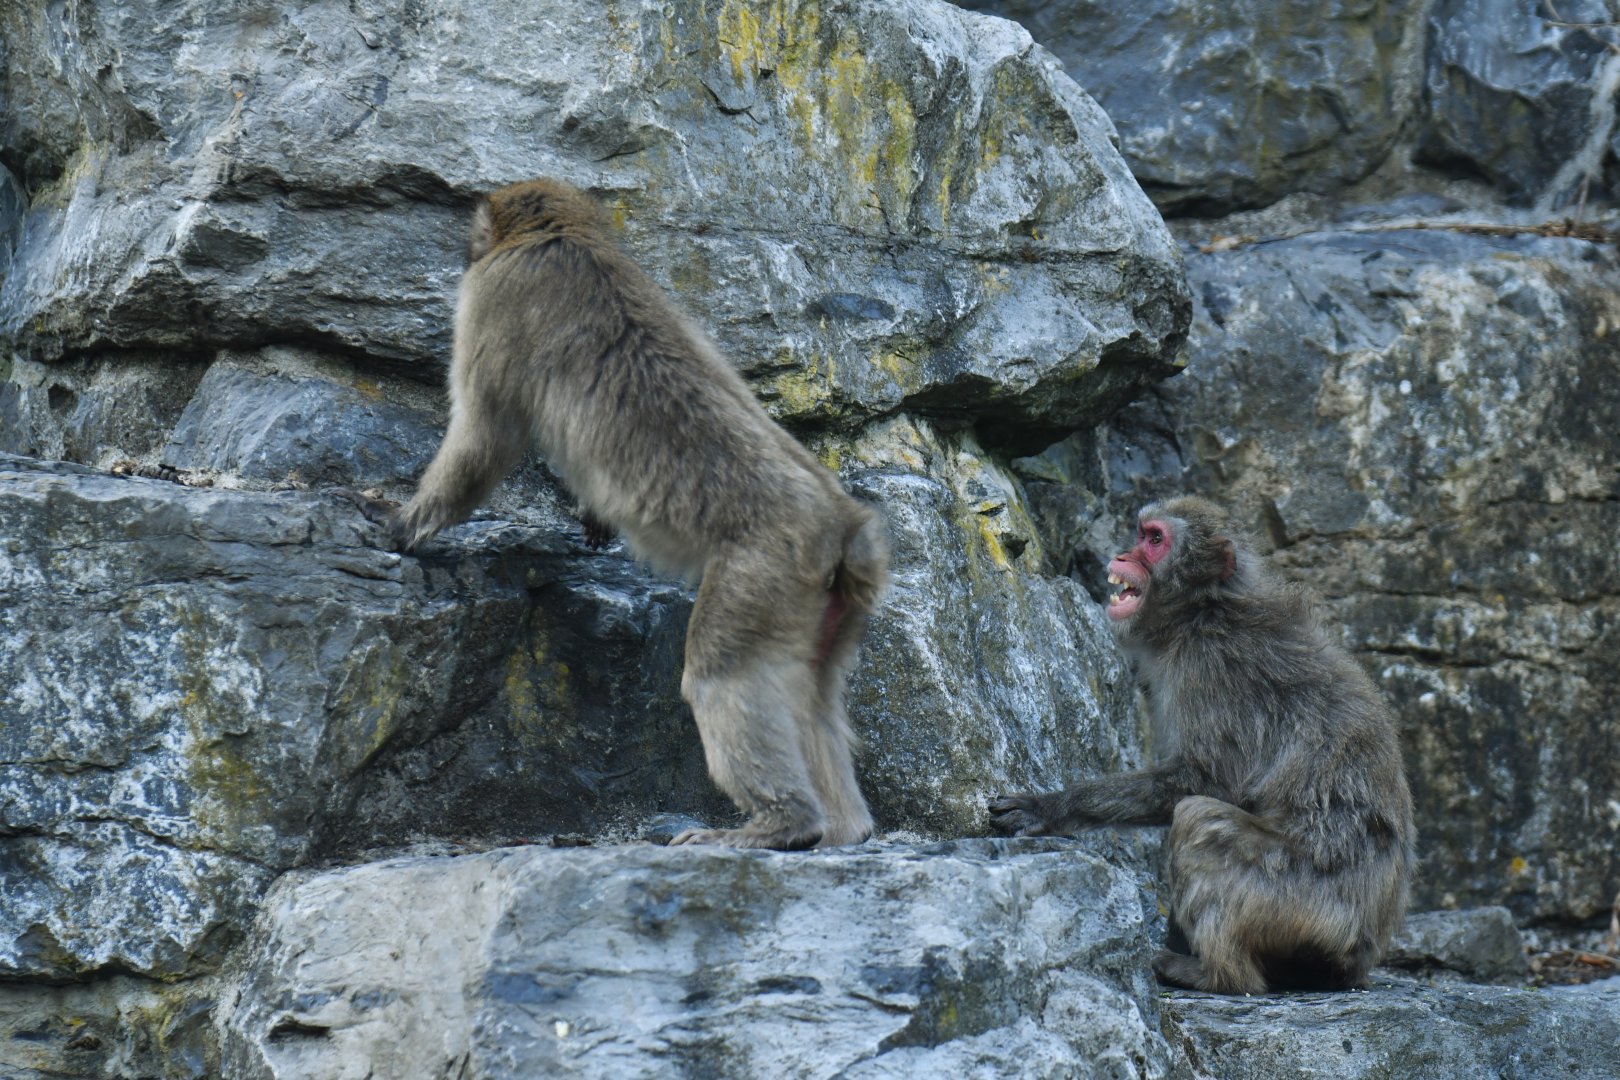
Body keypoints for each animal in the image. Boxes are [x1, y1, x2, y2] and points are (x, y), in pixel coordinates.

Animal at [374, 177, 889, 851]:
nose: (464, 249)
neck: (565, 235)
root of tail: (842, 522)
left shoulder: (495, 295)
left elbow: (484, 440)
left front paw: (401, 524)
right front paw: (593, 518)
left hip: (762, 572)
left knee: (720, 676)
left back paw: (781, 824)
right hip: (825, 604)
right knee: (813, 697)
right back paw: (841, 830)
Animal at [989, 496, 1413, 995]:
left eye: (1155, 540)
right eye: (1141, 533)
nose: (1123, 554)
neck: (1204, 608)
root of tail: (1361, 954)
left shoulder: (1209, 667)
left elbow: (1209, 783)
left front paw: (1053, 806)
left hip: (1301, 902)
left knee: (1197, 819)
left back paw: (1215, 974)